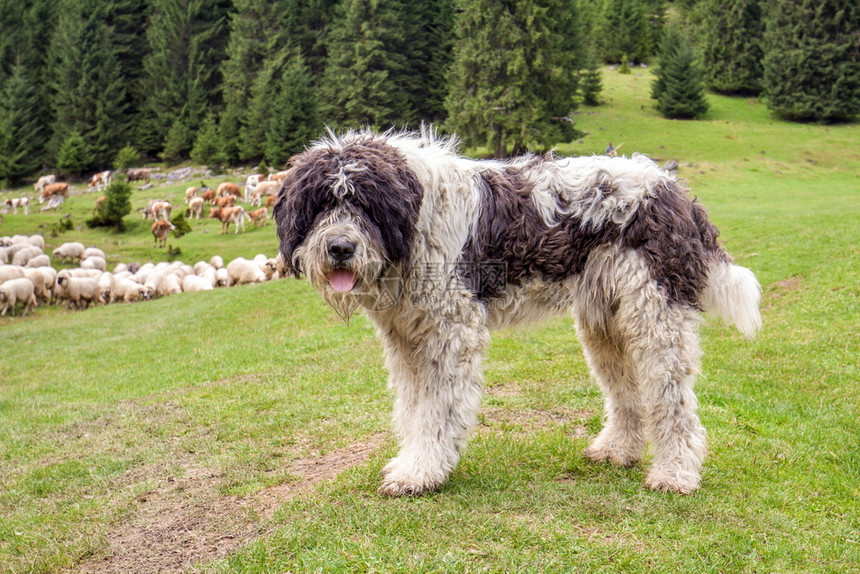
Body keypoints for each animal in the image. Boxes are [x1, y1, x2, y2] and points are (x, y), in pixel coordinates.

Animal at [274, 128, 760, 498]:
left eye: (363, 202)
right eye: (320, 203)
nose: (340, 248)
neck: (414, 223)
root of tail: (676, 191)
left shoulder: (451, 332)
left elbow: (437, 411)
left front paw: (421, 473)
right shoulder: (407, 337)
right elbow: (413, 410)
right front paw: (412, 464)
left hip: (656, 318)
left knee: (674, 403)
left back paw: (675, 474)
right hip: (606, 324)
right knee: (628, 394)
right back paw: (618, 451)